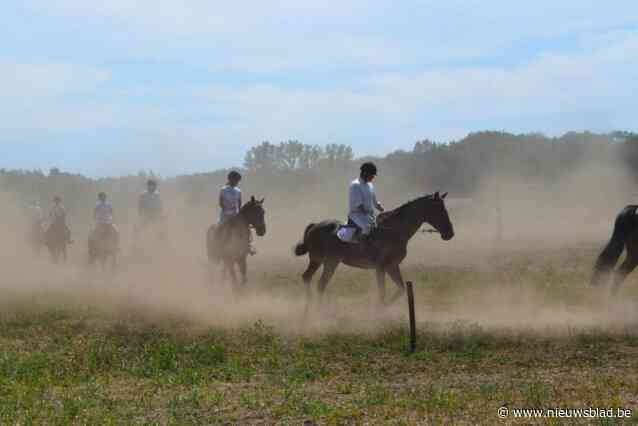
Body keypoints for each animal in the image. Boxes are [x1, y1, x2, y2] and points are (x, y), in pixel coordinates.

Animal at [296, 191, 456, 304]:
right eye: (438, 210)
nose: (450, 233)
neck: (394, 230)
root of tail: (315, 226)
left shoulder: (392, 266)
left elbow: (401, 289)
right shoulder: (381, 267)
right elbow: (382, 293)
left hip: (318, 261)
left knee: (307, 278)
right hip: (329, 262)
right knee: (320, 284)